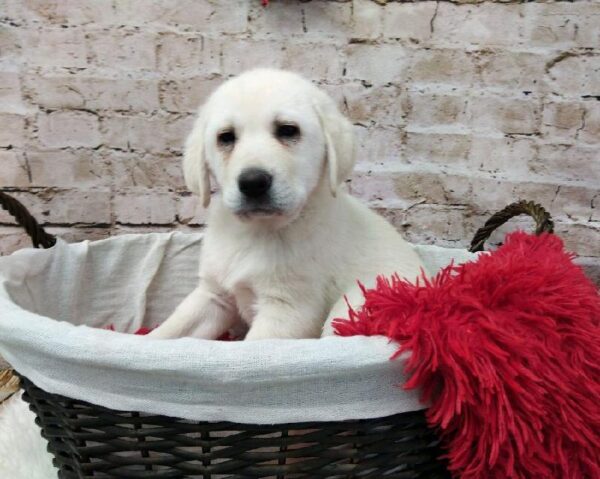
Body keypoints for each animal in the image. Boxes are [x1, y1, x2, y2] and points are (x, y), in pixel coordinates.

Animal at [148, 68, 424, 342]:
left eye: (288, 130)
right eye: (225, 137)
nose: (252, 183)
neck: (257, 231)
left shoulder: (288, 309)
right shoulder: (213, 295)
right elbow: (169, 332)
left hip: (356, 301)